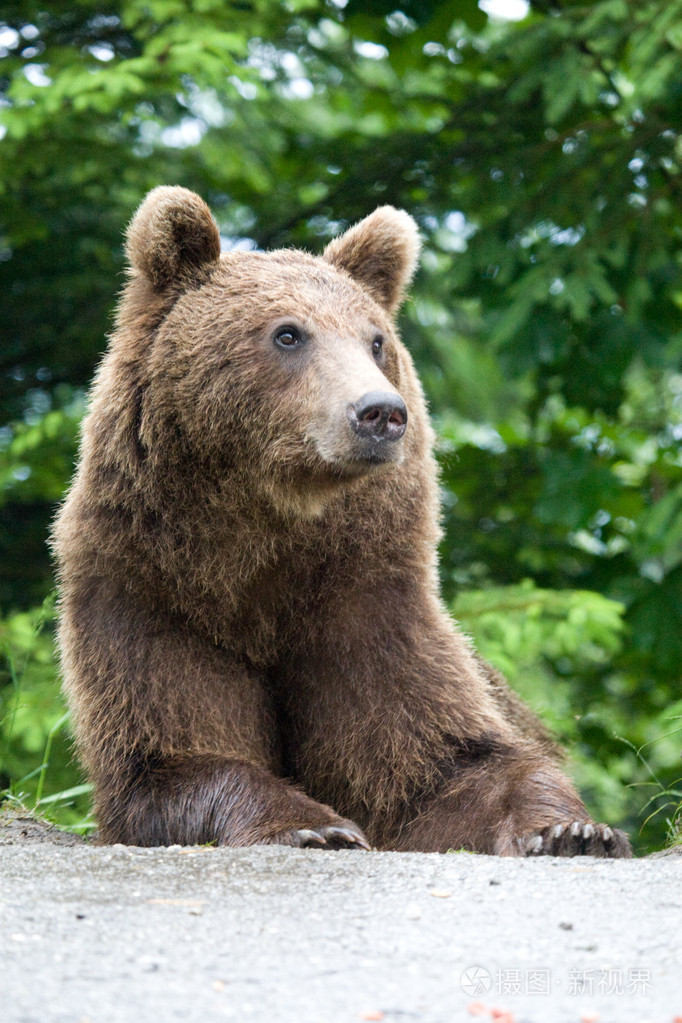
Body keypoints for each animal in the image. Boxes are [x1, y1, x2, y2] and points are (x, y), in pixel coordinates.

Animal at [53, 184, 633, 855]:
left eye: (376, 340)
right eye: (287, 334)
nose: (381, 412)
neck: (264, 549)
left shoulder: (363, 603)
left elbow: (445, 762)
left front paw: (573, 829)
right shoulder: (152, 599)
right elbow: (173, 752)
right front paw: (314, 825)